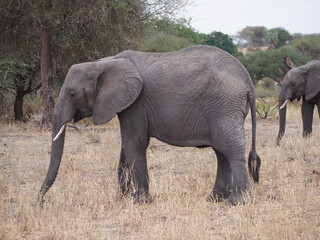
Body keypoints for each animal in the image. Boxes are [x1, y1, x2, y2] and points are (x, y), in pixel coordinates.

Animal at [38, 46, 262, 205]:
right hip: (223, 108)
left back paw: (236, 202)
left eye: (72, 94)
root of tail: (247, 79)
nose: (40, 202)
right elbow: (127, 145)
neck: (103, 62)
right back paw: (214, 199)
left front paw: (139, 201)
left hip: (224, 106)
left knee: (230, 148)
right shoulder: (128, 103)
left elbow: (134, 142)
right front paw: (124, 198)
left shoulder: (136, 102)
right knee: (221, 152)